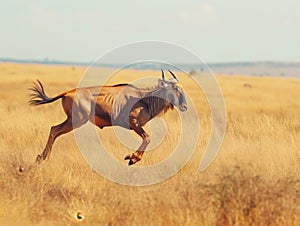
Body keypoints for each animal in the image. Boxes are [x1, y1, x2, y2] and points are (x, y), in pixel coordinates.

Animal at [28, 69, 188, 165]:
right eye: (175, 88)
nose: (185, 106)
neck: (144, 98)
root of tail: (67, 93)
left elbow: (147, 139)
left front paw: (132, 158)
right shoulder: (134, 124)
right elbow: (148, 138)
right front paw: (132, 158)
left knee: (53, 129)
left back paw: (41, 158)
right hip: (76, 121)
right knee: (55, 130)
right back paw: (41, 158)